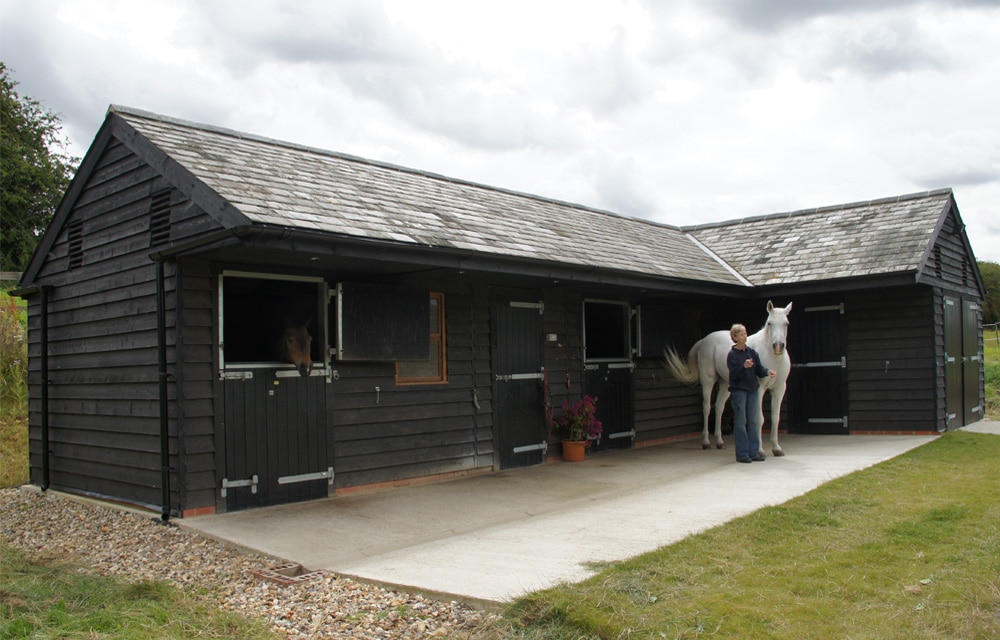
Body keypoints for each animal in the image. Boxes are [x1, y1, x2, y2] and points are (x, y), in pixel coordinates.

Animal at [668, 300, 792, 456]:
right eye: (769, 323)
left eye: (786, 323)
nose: (778, 346)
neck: (772, 357)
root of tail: (704, 340)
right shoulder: (759, 389)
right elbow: (759, 419)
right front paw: (760, 450)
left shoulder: (779, 389)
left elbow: (776, 418)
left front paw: (777, 448)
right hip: (708, 381)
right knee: (707, 408)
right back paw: (706, 442)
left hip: (725, 384)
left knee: (719, 407)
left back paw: (719, 442)